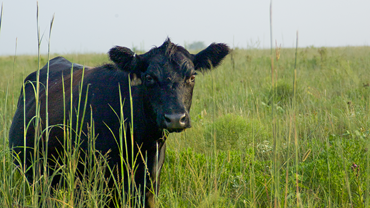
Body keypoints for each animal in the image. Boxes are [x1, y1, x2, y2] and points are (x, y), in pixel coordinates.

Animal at [8, 38, 228, 207]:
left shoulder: (149, 185)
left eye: (191, 77)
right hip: (40, 176)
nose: (175, 118)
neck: (140, 143)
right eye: (149, 77)